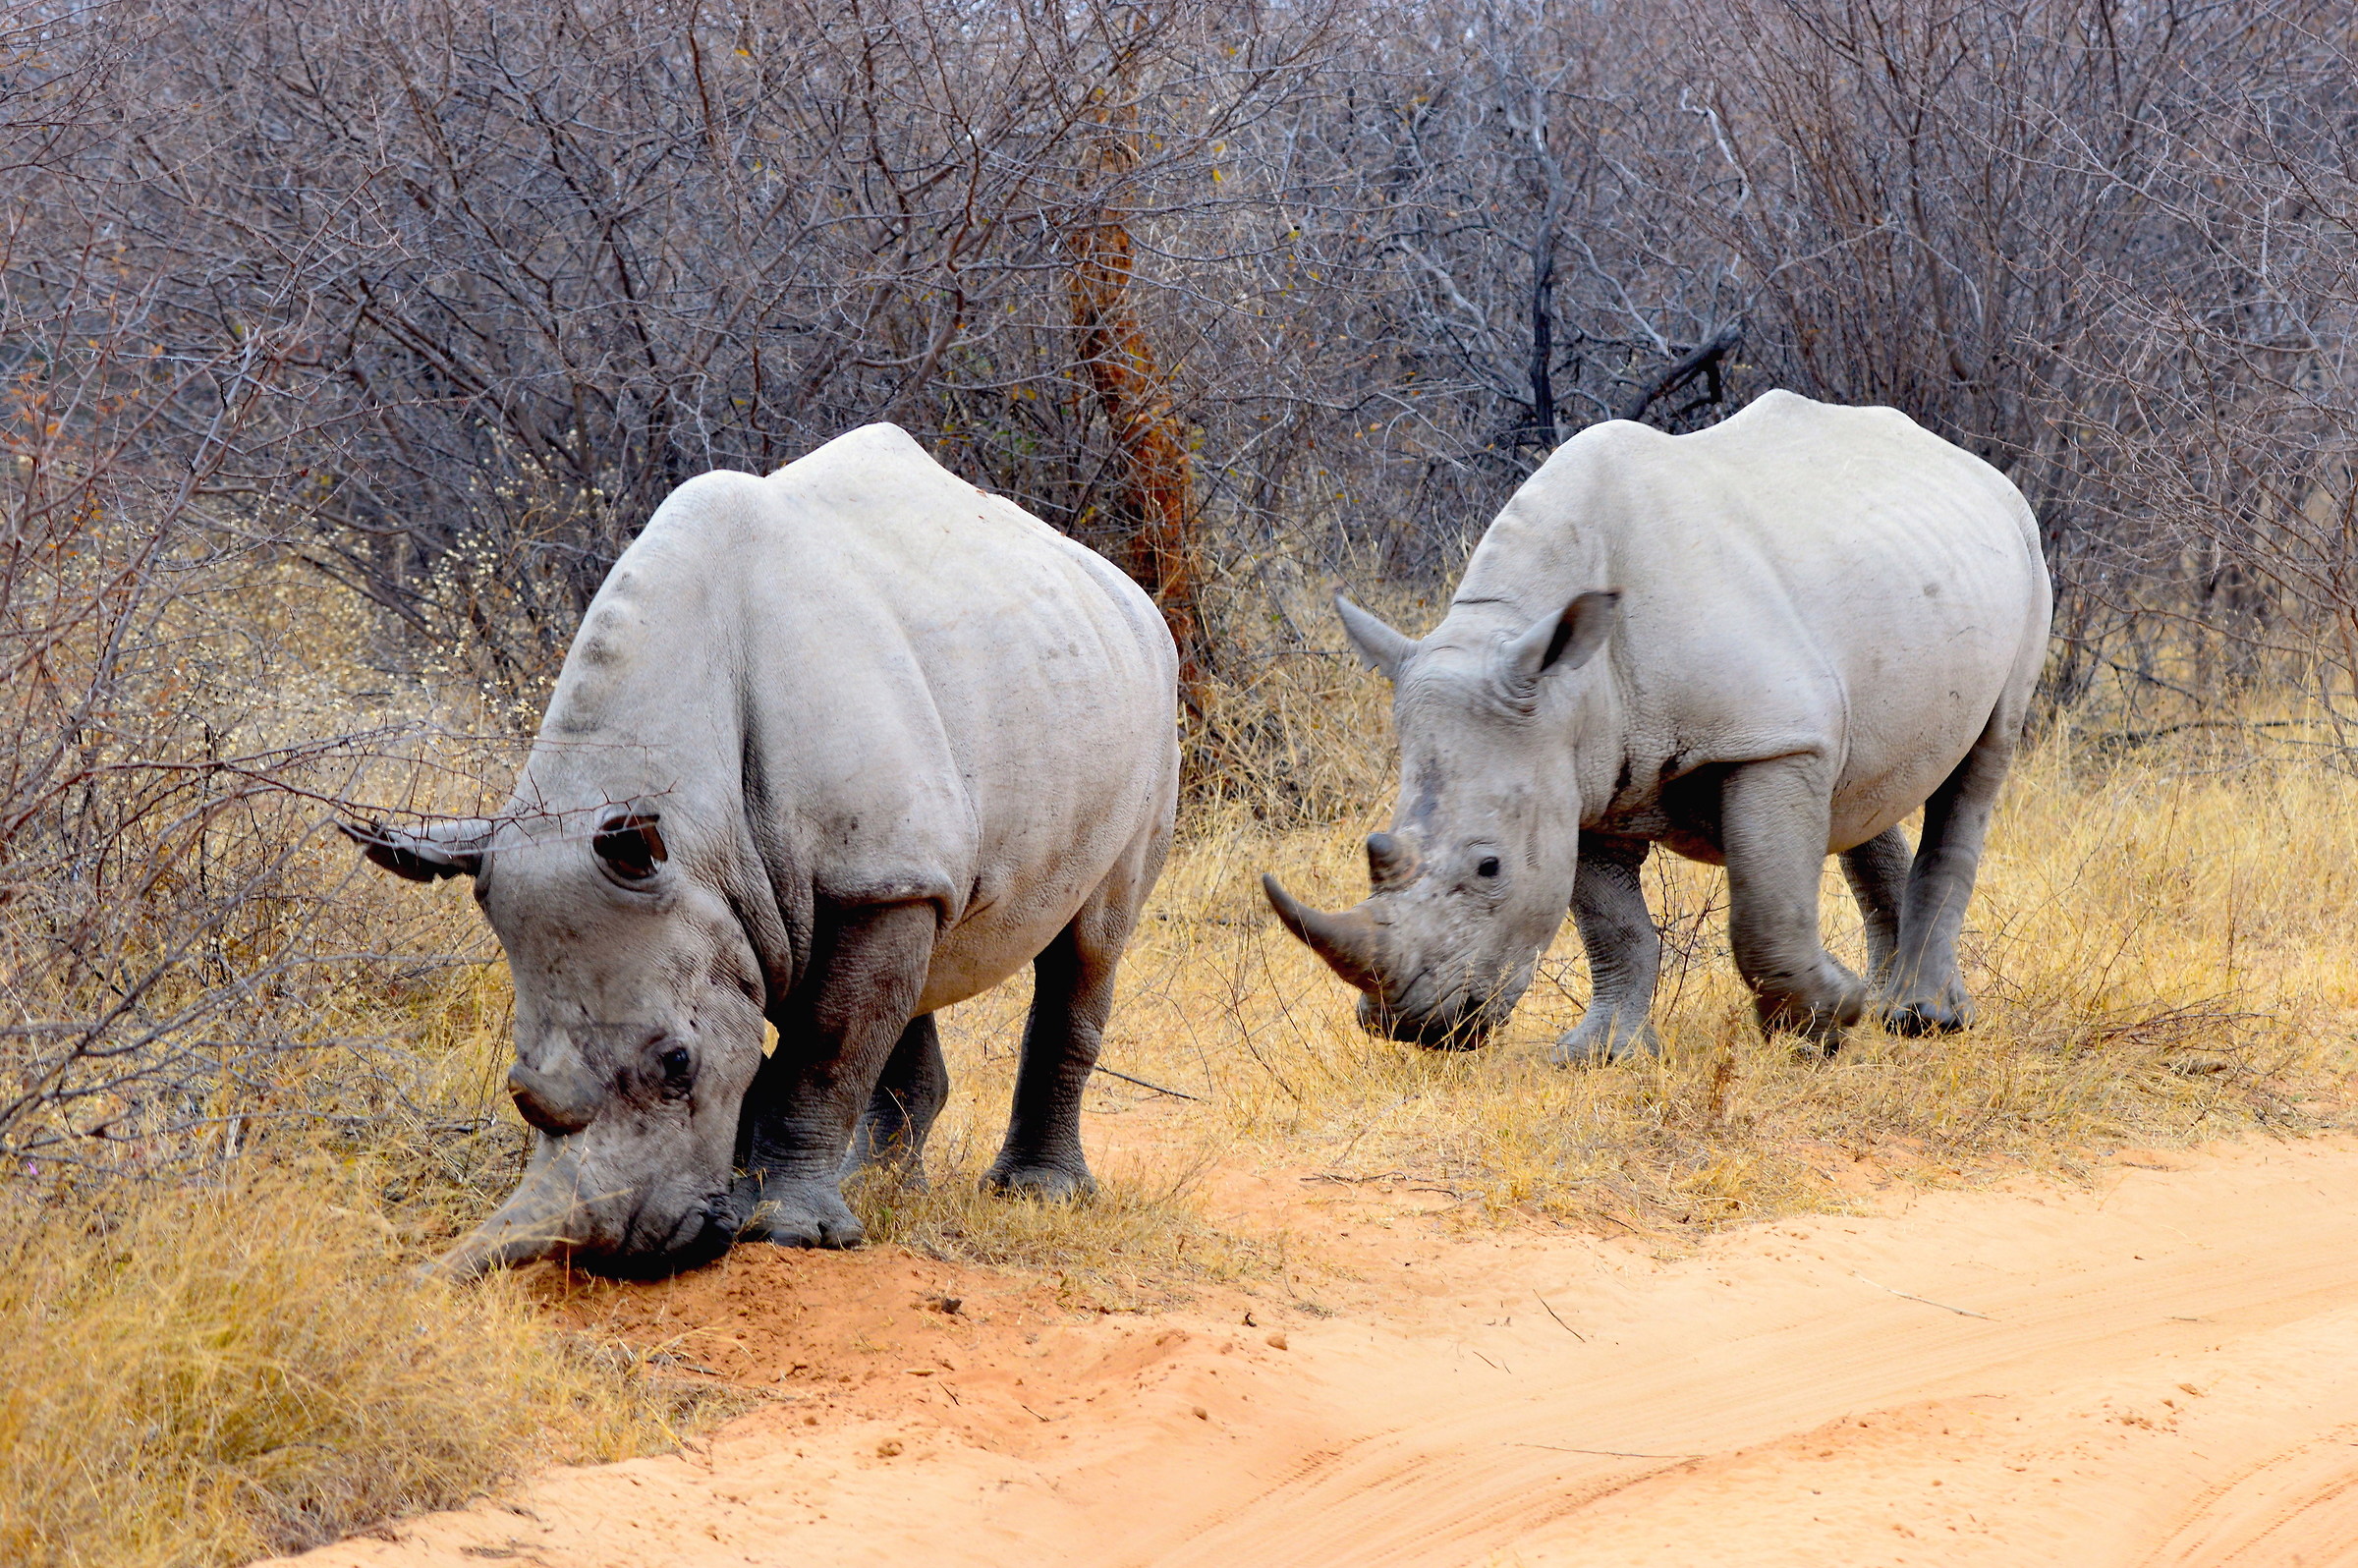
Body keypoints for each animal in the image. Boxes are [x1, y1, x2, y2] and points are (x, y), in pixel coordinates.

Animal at [344, 425, 1178, 1276]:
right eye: (517, 1073)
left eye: (677, 1063)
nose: (626, 1253)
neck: (698, 838)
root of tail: (1125, 589)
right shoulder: (797, 887)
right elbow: (818, 1039)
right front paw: (771, 1207)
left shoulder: (841, 877)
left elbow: (823, 1051)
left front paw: (788, 1233)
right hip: (972, 762)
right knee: (922, 954)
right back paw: (878, 1187)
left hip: (1147, 697)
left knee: (1092, 940)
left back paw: (1038, 1196)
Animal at [1263, 391, 2051, 1059]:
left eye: (1489, 867)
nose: (1411, 1028)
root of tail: (1971, 464)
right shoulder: (1575, 776)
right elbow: (1613, 927)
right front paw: (1602, 1055)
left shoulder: (1767, 740)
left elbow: (1763, 911)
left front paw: (1821, 1028)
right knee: (1860, 786)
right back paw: (1898, 1007)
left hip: (2028, 551)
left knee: (1979, 766)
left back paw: (1924, 1021)